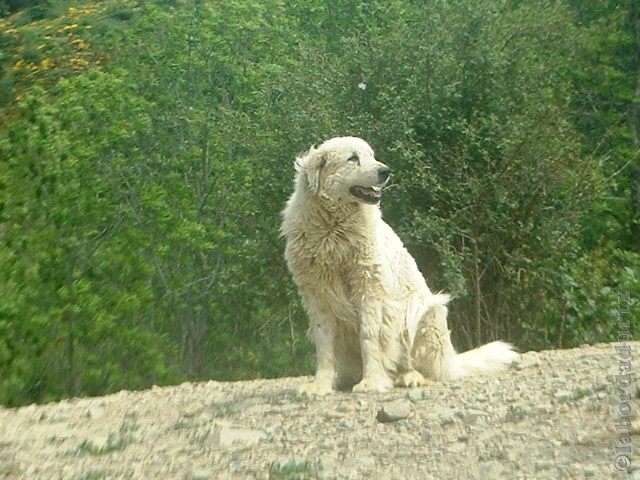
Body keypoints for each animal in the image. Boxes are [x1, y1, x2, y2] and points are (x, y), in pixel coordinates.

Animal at [282, 136, 520, 394]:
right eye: (352, 158)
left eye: (371, 155)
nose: (385, 171)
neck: (333, 231)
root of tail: (451, 361)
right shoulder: (317, 296)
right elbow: (323, 344)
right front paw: (319, 385)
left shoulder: (371, 292)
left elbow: (369, 337)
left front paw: (372, 381)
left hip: (421, 312)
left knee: (429, 369)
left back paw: (410, 377)